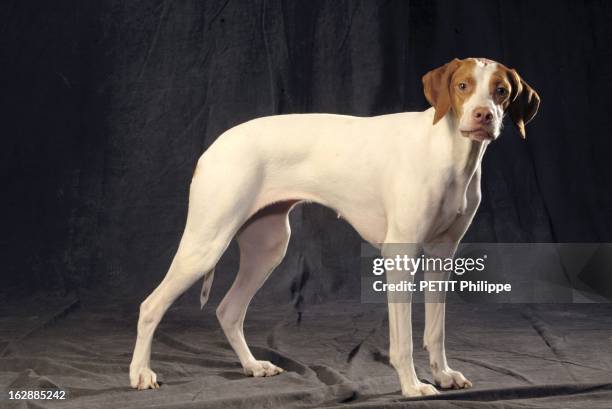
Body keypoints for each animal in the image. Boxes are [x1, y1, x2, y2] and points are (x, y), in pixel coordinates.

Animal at [129, 56, 540, 396]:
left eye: (501, 91)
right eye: (463, 86)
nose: (484, 116)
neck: (449, 152)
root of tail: (213, 148)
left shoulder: (442, 255)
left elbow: (435, 331)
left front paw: (442, 375)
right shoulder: (401, 255)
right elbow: (403, 339)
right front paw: (412, 386)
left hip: (267, 248)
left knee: (228, 310)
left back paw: (252, 366)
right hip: (206, 244)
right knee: (151, 305)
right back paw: (141, 374)